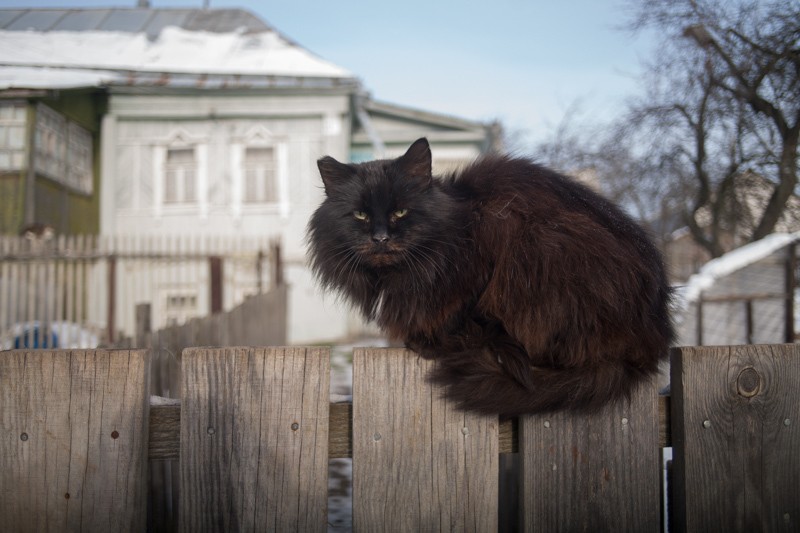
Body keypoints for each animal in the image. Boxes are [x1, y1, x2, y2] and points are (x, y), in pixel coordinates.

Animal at [310, 137, 672, 416]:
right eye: (360, 215)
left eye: (401, 211)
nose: (381, 238)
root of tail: (653, 337)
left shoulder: (482, 258)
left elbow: (461, 311)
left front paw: (434, 340)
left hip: (543, 245)